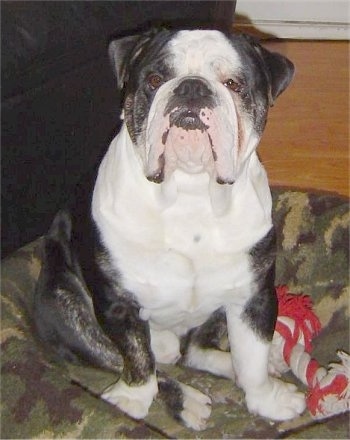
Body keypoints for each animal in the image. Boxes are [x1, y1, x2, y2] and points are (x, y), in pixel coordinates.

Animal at [34, 28, 304, 430]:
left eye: (233, 84)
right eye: (154, 80)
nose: (192, 88)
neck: (190, 192)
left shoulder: (254, 296)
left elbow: (252, 355)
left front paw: (266, 399)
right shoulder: (117, 305)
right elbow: (137, 359)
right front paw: (132, 398)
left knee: (197, 350)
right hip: (61, 303)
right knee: (141, 357)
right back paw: (186, 399)